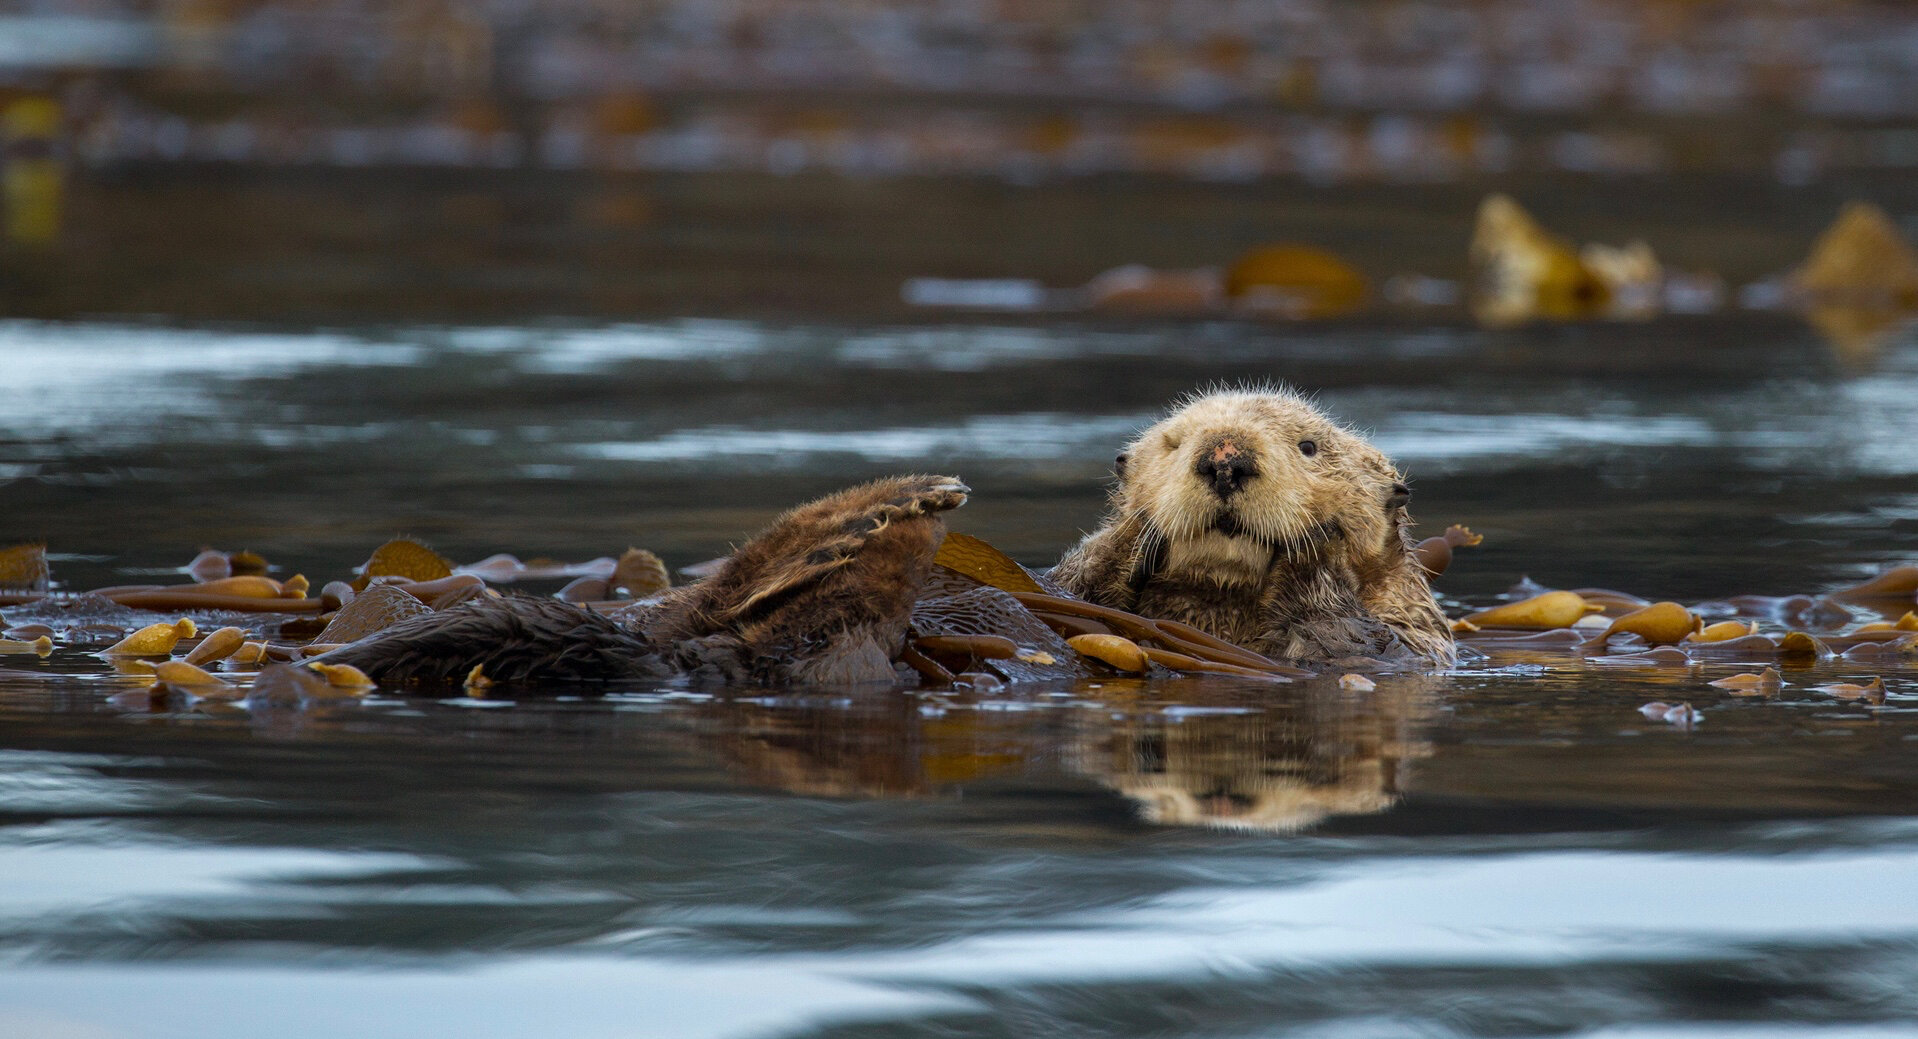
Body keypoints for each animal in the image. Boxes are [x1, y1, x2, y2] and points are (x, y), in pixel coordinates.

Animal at [1051, 387, 1450, 670]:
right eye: (1174, 444)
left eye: (1309, 447)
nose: (1225, 461)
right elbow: (1069, 584)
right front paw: (1130, 533)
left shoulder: (1413, 639)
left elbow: (1354, 641)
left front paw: (1318, 544)